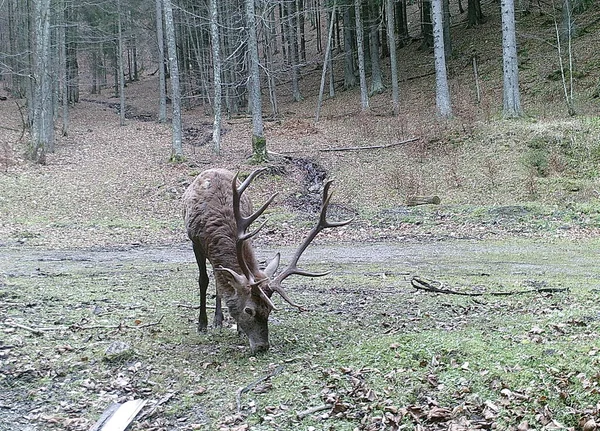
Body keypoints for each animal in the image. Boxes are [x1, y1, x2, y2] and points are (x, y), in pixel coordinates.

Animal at [183, 167, 352, 352]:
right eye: (248, 310)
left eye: (269, 310)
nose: (262, 346)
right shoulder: (195, 242)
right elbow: (203, 280)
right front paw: (202, 325)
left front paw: (239, 330)